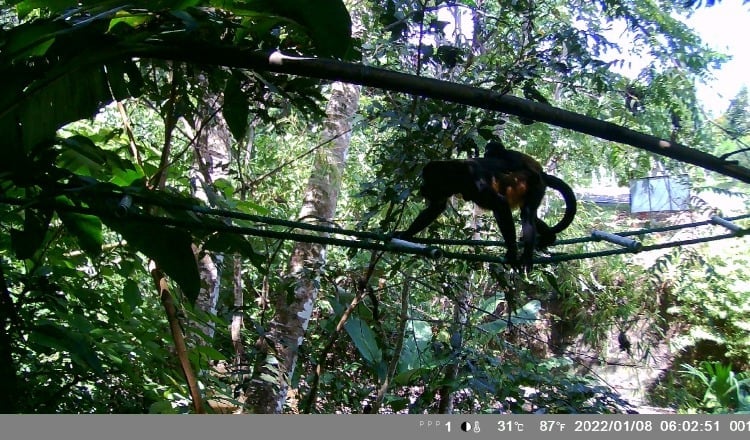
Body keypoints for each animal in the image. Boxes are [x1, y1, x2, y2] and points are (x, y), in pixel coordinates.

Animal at [396, 141, 580, 272]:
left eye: (426, 180)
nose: (421, 188)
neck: (456, 176)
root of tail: (541, 174)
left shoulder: (475, 182)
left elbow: (501, 203)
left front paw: (512, 253)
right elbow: (437, 207)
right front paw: (405, 234)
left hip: (536, 185)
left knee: (525, 213)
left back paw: (528, 254)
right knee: (528, 215)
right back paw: (549, 238)